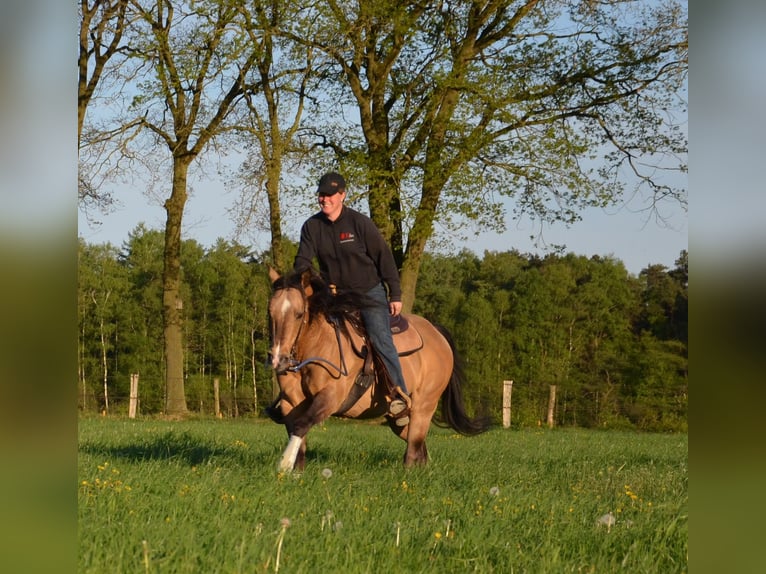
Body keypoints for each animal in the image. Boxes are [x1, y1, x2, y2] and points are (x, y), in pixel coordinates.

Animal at [266, 268, 489, 471]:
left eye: (299, 314)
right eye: (270, 312)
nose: (278, 359)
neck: (316, 344)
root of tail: (437, 332)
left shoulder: (331, 396)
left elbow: (302, 424)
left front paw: (283, 465)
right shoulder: (290, 402)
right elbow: (297, 431)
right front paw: (295, 472)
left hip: (423, 406)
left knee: (413, 448)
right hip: (399, 419)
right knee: (420, 449)